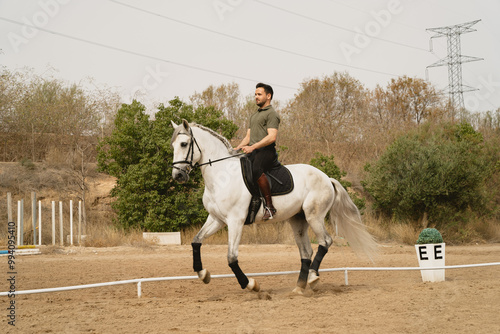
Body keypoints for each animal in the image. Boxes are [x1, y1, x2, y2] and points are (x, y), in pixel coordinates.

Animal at [170, 120, 376, 292]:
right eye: (173, 145)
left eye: (184, 144)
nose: (178, 176)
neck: (222, 177)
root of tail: (326, 177)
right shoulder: (217, 219)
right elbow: (196, 241)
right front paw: (203, 274)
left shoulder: (235, 221)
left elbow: (231, 257)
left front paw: (250, 284)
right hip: (298, 220)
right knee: (306, 252)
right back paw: (299, 287)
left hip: (314, 216)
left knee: (325, 242)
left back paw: (312, 277)